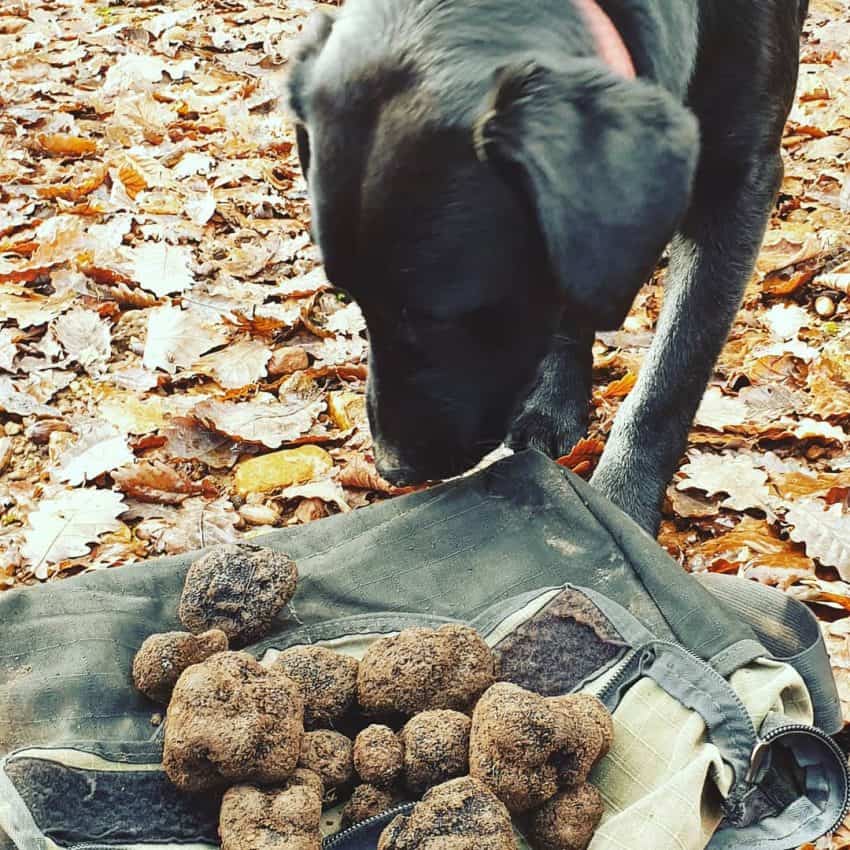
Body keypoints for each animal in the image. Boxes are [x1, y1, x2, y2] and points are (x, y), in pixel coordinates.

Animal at [288, 0, 804, 528]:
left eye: (442, 317)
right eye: (352, 298)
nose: (393, 469)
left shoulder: (737, 184)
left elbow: (673, 370)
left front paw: (622, 500)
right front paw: (552, 404)